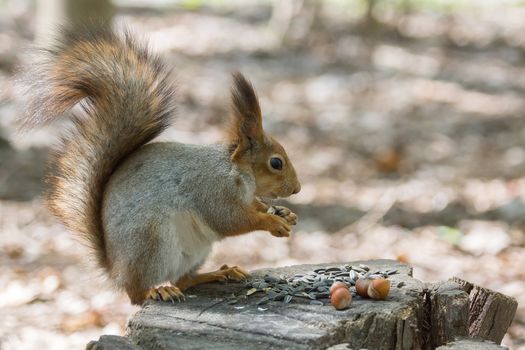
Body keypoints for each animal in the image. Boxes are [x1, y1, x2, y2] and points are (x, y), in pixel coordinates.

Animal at [19, 26, 298, 304]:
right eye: (276, 163)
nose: (297, 189)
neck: (238, 172)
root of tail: (115, 269)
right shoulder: (211, 188)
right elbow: (231, 219)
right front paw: (271, 222)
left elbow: (254, 206)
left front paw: (284, 213)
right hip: (151, 241)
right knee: (137, 293)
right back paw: (157, 290)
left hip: (195, 251)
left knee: (183, 280)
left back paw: (218, 273)